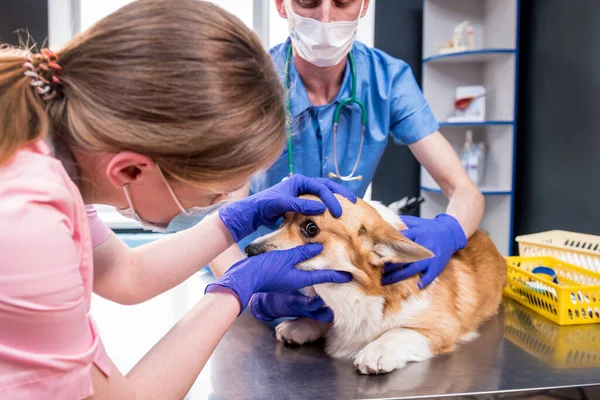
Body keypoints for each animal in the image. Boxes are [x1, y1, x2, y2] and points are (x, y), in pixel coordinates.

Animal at [244, 195, 506, 376]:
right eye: (282, 219)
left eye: (311, 228)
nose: (249, 250)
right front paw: (300, 324)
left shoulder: (442, 327)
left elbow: (400, 331)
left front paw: (377, 351)